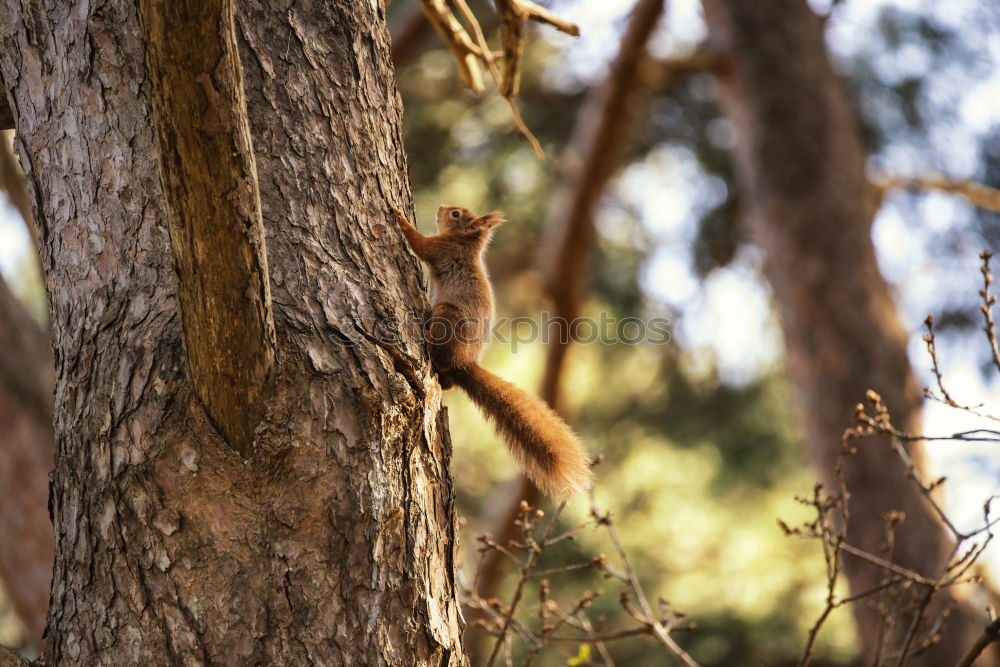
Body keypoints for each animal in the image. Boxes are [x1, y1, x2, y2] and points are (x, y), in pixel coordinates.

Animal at [390, 206, 592, 498]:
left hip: (447, 318)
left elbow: (419, 244)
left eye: (455, 214)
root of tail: (465, 364)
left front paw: (398, 216)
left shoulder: (442, 249)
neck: (465, 243)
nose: (441, 208)